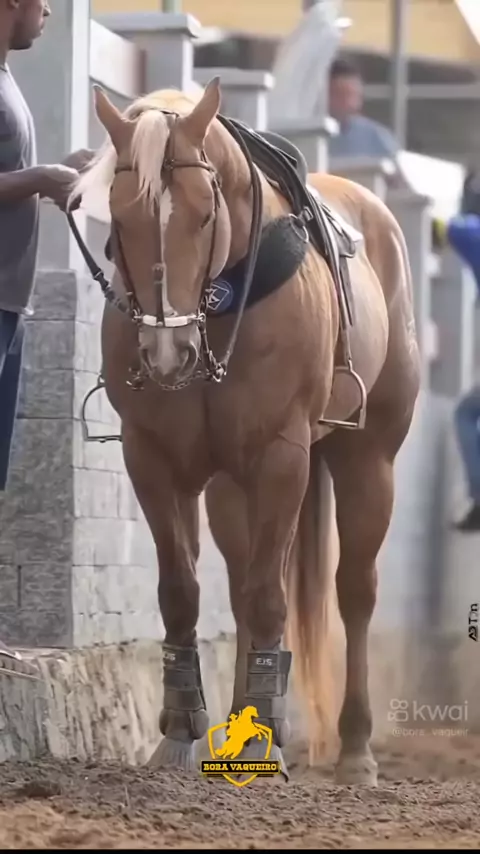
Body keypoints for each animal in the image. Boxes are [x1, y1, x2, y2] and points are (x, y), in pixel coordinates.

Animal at [71, 78, 421, 786]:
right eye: (117, 218)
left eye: (205, 215)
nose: (167, 352)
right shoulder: (153, 458)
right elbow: (183, 591)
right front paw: (181, 734)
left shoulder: (282, 455)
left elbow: (268, 597)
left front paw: (265, 745)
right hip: (231, 485)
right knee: (239, 583)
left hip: (368, 459)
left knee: (354, 591)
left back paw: (356, 751)